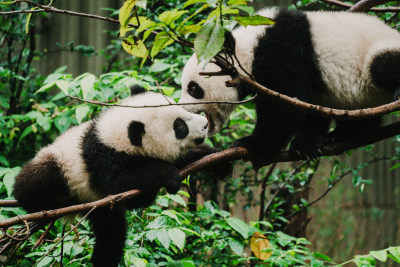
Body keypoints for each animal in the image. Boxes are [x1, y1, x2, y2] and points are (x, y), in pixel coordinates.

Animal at [11, 85, 209, 267]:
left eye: (181, 108)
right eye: (180, 125)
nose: (205, 124)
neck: (112, 136)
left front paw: (206, 154)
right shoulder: (102, 162)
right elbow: (119, 183)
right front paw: (169, 175)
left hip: (100, 206)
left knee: (111, 232)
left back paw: (103, 260)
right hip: (58, 165)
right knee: (34, 180)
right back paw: (41, 205)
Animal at [180, 7, 400, 159]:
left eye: (193, 88)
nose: (182, 109)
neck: (247, 48)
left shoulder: (279, 54)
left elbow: (284, 109)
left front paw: (251, 143)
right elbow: (311, 108)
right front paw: (306, 144)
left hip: (375, 52)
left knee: (382, 66)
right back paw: (345, 134)